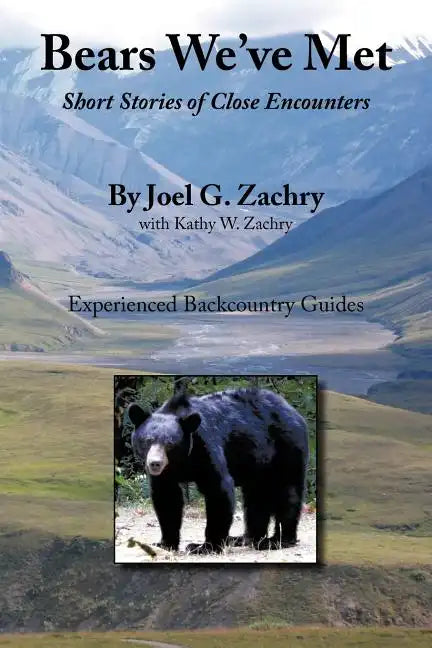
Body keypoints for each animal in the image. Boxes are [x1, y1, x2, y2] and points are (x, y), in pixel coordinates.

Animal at [127, 387, 309, 554]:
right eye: (147, 441)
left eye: (170, 444)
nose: (155, 463)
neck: (182, 461)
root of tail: (294, 412)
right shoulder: (166, 474)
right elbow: (167, 498)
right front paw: (165, 543)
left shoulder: (206, 446)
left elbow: (218, 489)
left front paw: (205, 547)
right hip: (257, 464)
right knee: (256, 498)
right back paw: (245, 538)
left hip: (286, 446)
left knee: (287, 491)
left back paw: (277, 540)